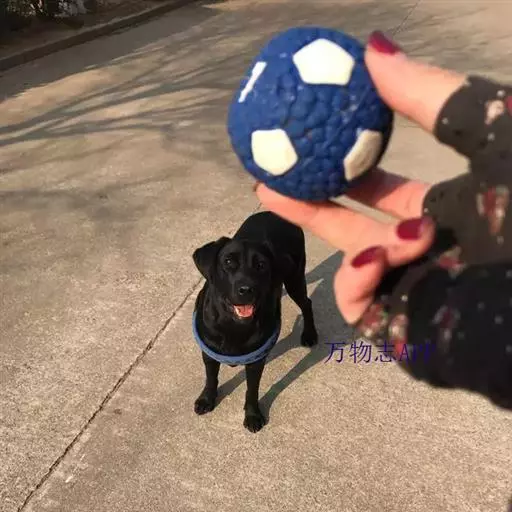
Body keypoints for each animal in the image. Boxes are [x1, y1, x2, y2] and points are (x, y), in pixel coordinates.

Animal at [192, 211, 318, 433]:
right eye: (228, 262)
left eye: (261, 266)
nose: (246, 289)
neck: (233, 324)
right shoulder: (209, 352)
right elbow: (211, 377)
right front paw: (207, 399)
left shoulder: (256, 361)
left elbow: (252, 390)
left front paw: (252, 415)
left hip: (295, 278)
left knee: (307, 303)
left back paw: (309, 334)